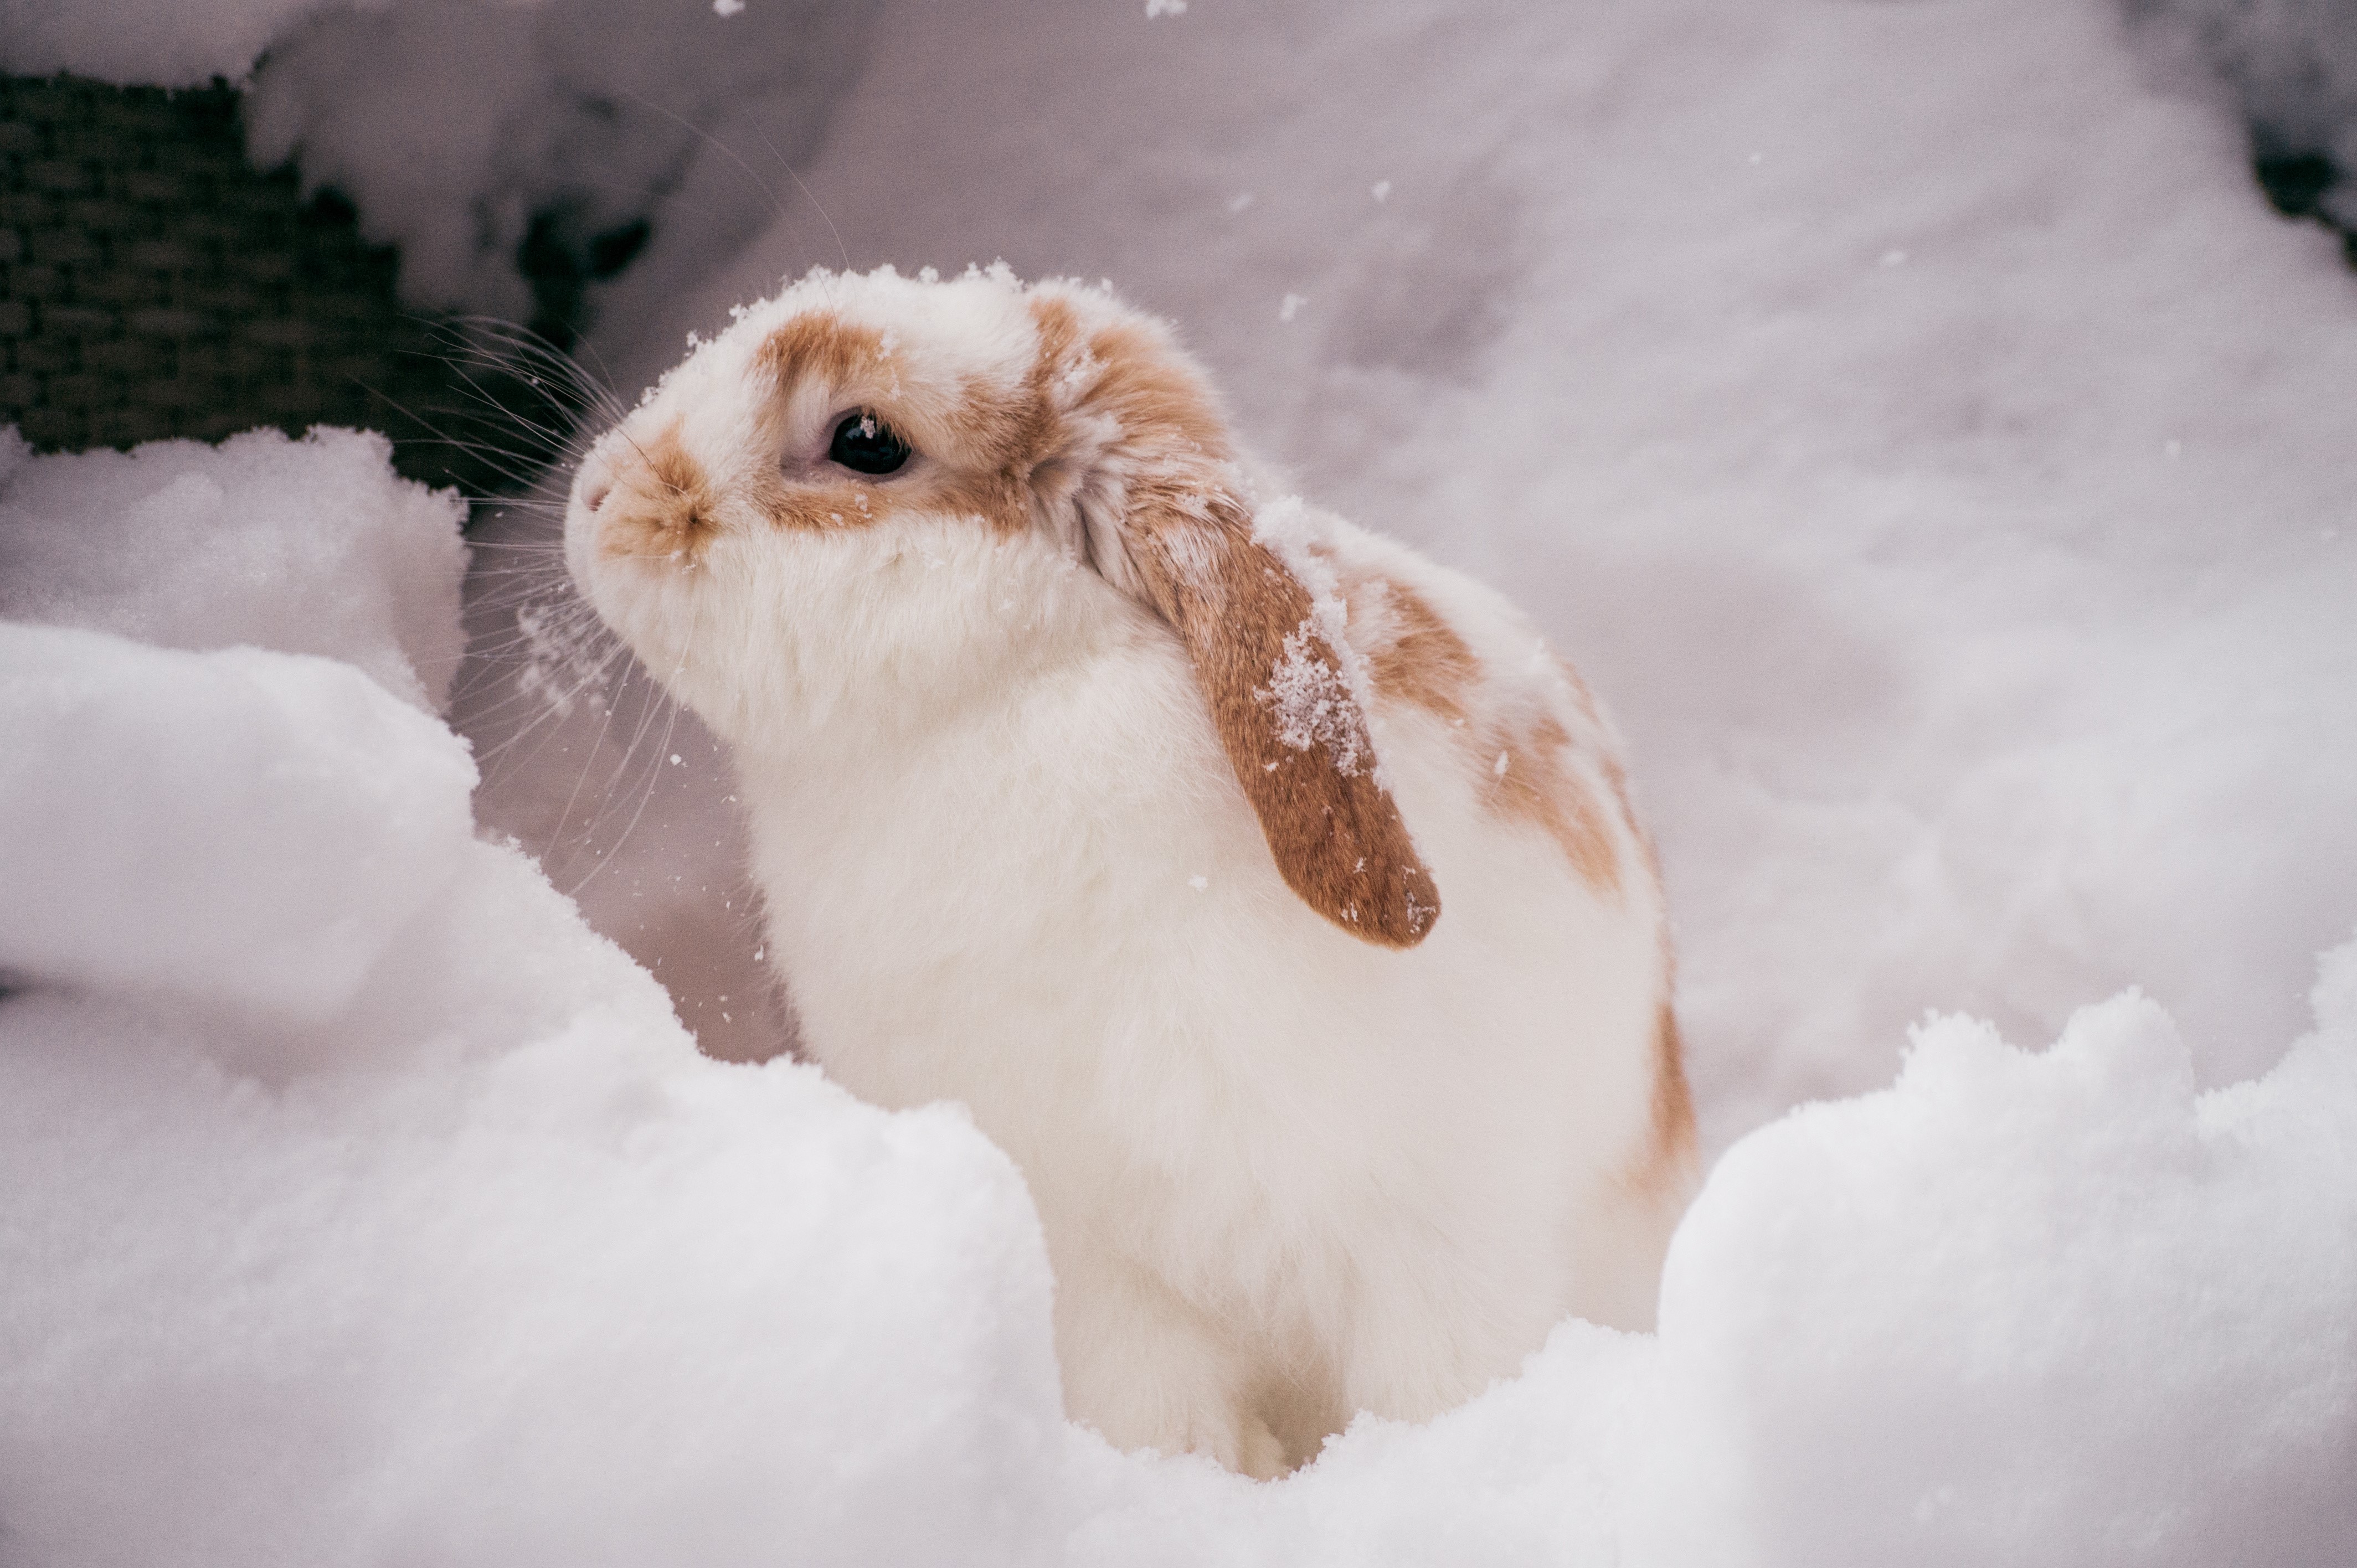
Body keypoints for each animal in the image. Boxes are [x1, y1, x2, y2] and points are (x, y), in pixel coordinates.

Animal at [563, 263, 1697, 1478]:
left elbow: (1432, 1386)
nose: (594, 504)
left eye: (865, 440)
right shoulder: (1098, 1265)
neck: (1007, 696)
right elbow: (1161, 1416)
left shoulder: (1437, 1238)